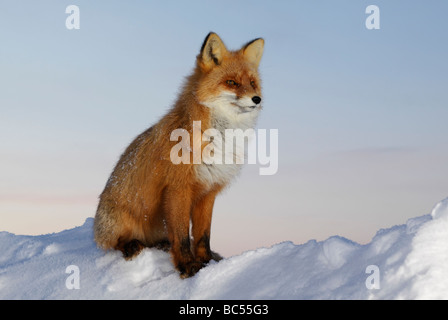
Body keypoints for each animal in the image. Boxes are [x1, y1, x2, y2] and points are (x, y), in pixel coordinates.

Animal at [93, 31, 264, 278]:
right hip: (118, 221)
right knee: (114, 243)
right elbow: (183, 236)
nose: (257, 99)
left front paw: (206, 262)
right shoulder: (178, 189)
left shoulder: (208, 192)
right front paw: (188, 266)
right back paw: (132, 245)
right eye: (231, 82)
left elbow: (202, 236)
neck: (216, 139)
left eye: (252, 83)